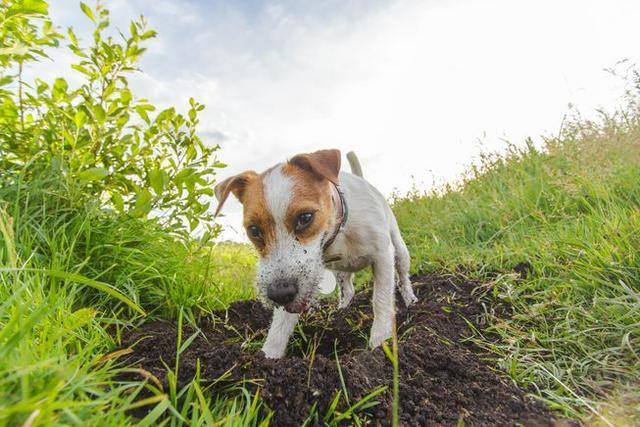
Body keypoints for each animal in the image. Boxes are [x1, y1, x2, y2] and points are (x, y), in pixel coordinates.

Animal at [212, 149, 418, 360]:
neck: (338, 231)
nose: (279, 294)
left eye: (305, 218)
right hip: (339, 272)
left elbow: (381, 300)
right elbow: (281, 324)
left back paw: (410, 300)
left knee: (403, 276)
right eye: (254, 230)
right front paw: (268, 354)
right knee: (348, 290)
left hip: (400, 251)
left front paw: (380, 342)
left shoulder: (382, 256)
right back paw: (343, 310)